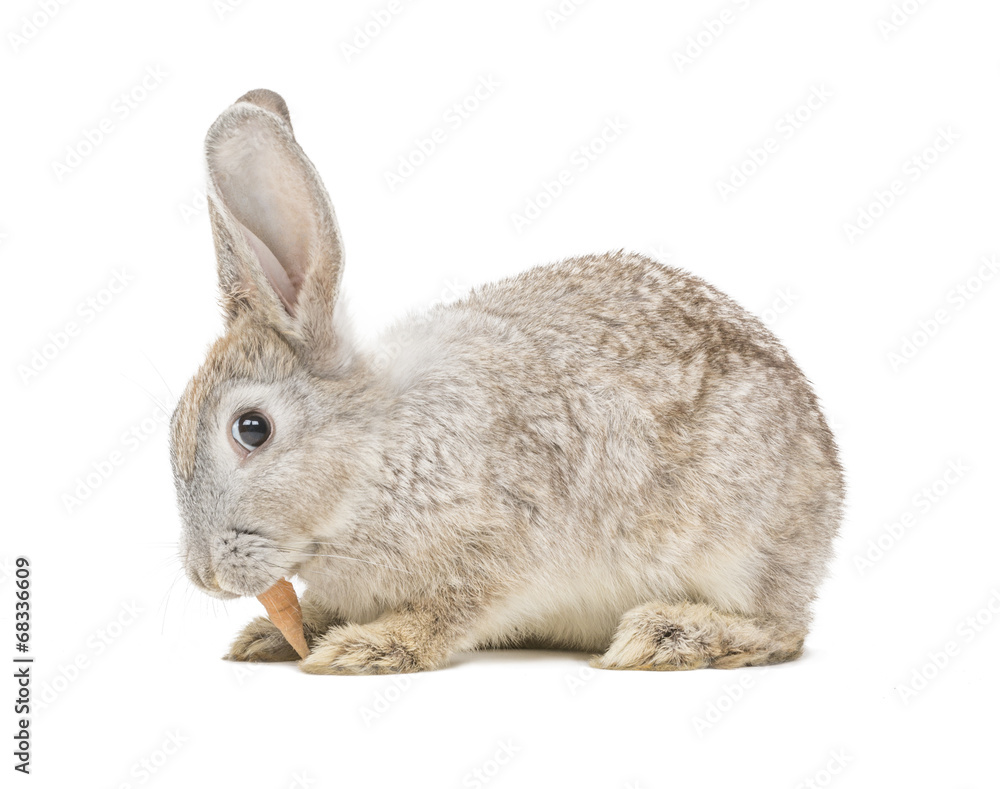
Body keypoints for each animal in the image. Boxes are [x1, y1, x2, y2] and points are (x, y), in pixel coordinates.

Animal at [170, 88, 844, 674]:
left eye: (251, 429)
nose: (204, 575)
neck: (373, 462)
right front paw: (271, 636)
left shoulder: (498, 552)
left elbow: (447, 615)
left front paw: (367, 648)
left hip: (742, 553)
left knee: (782, 631)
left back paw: (663, 636)